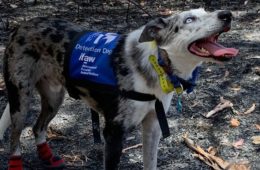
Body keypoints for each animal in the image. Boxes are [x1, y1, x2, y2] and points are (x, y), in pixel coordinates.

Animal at [1, 8, 239, 170]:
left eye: (206, 11)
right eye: (189, 19)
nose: (227, 14)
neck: (157, 63)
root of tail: (21, 26)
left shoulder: (153, 126)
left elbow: (150, 163)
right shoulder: (113, 134)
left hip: (53, 98)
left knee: (37, 127)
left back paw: (47, 156)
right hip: (20, 100)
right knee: (15, 137)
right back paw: (16, 162)